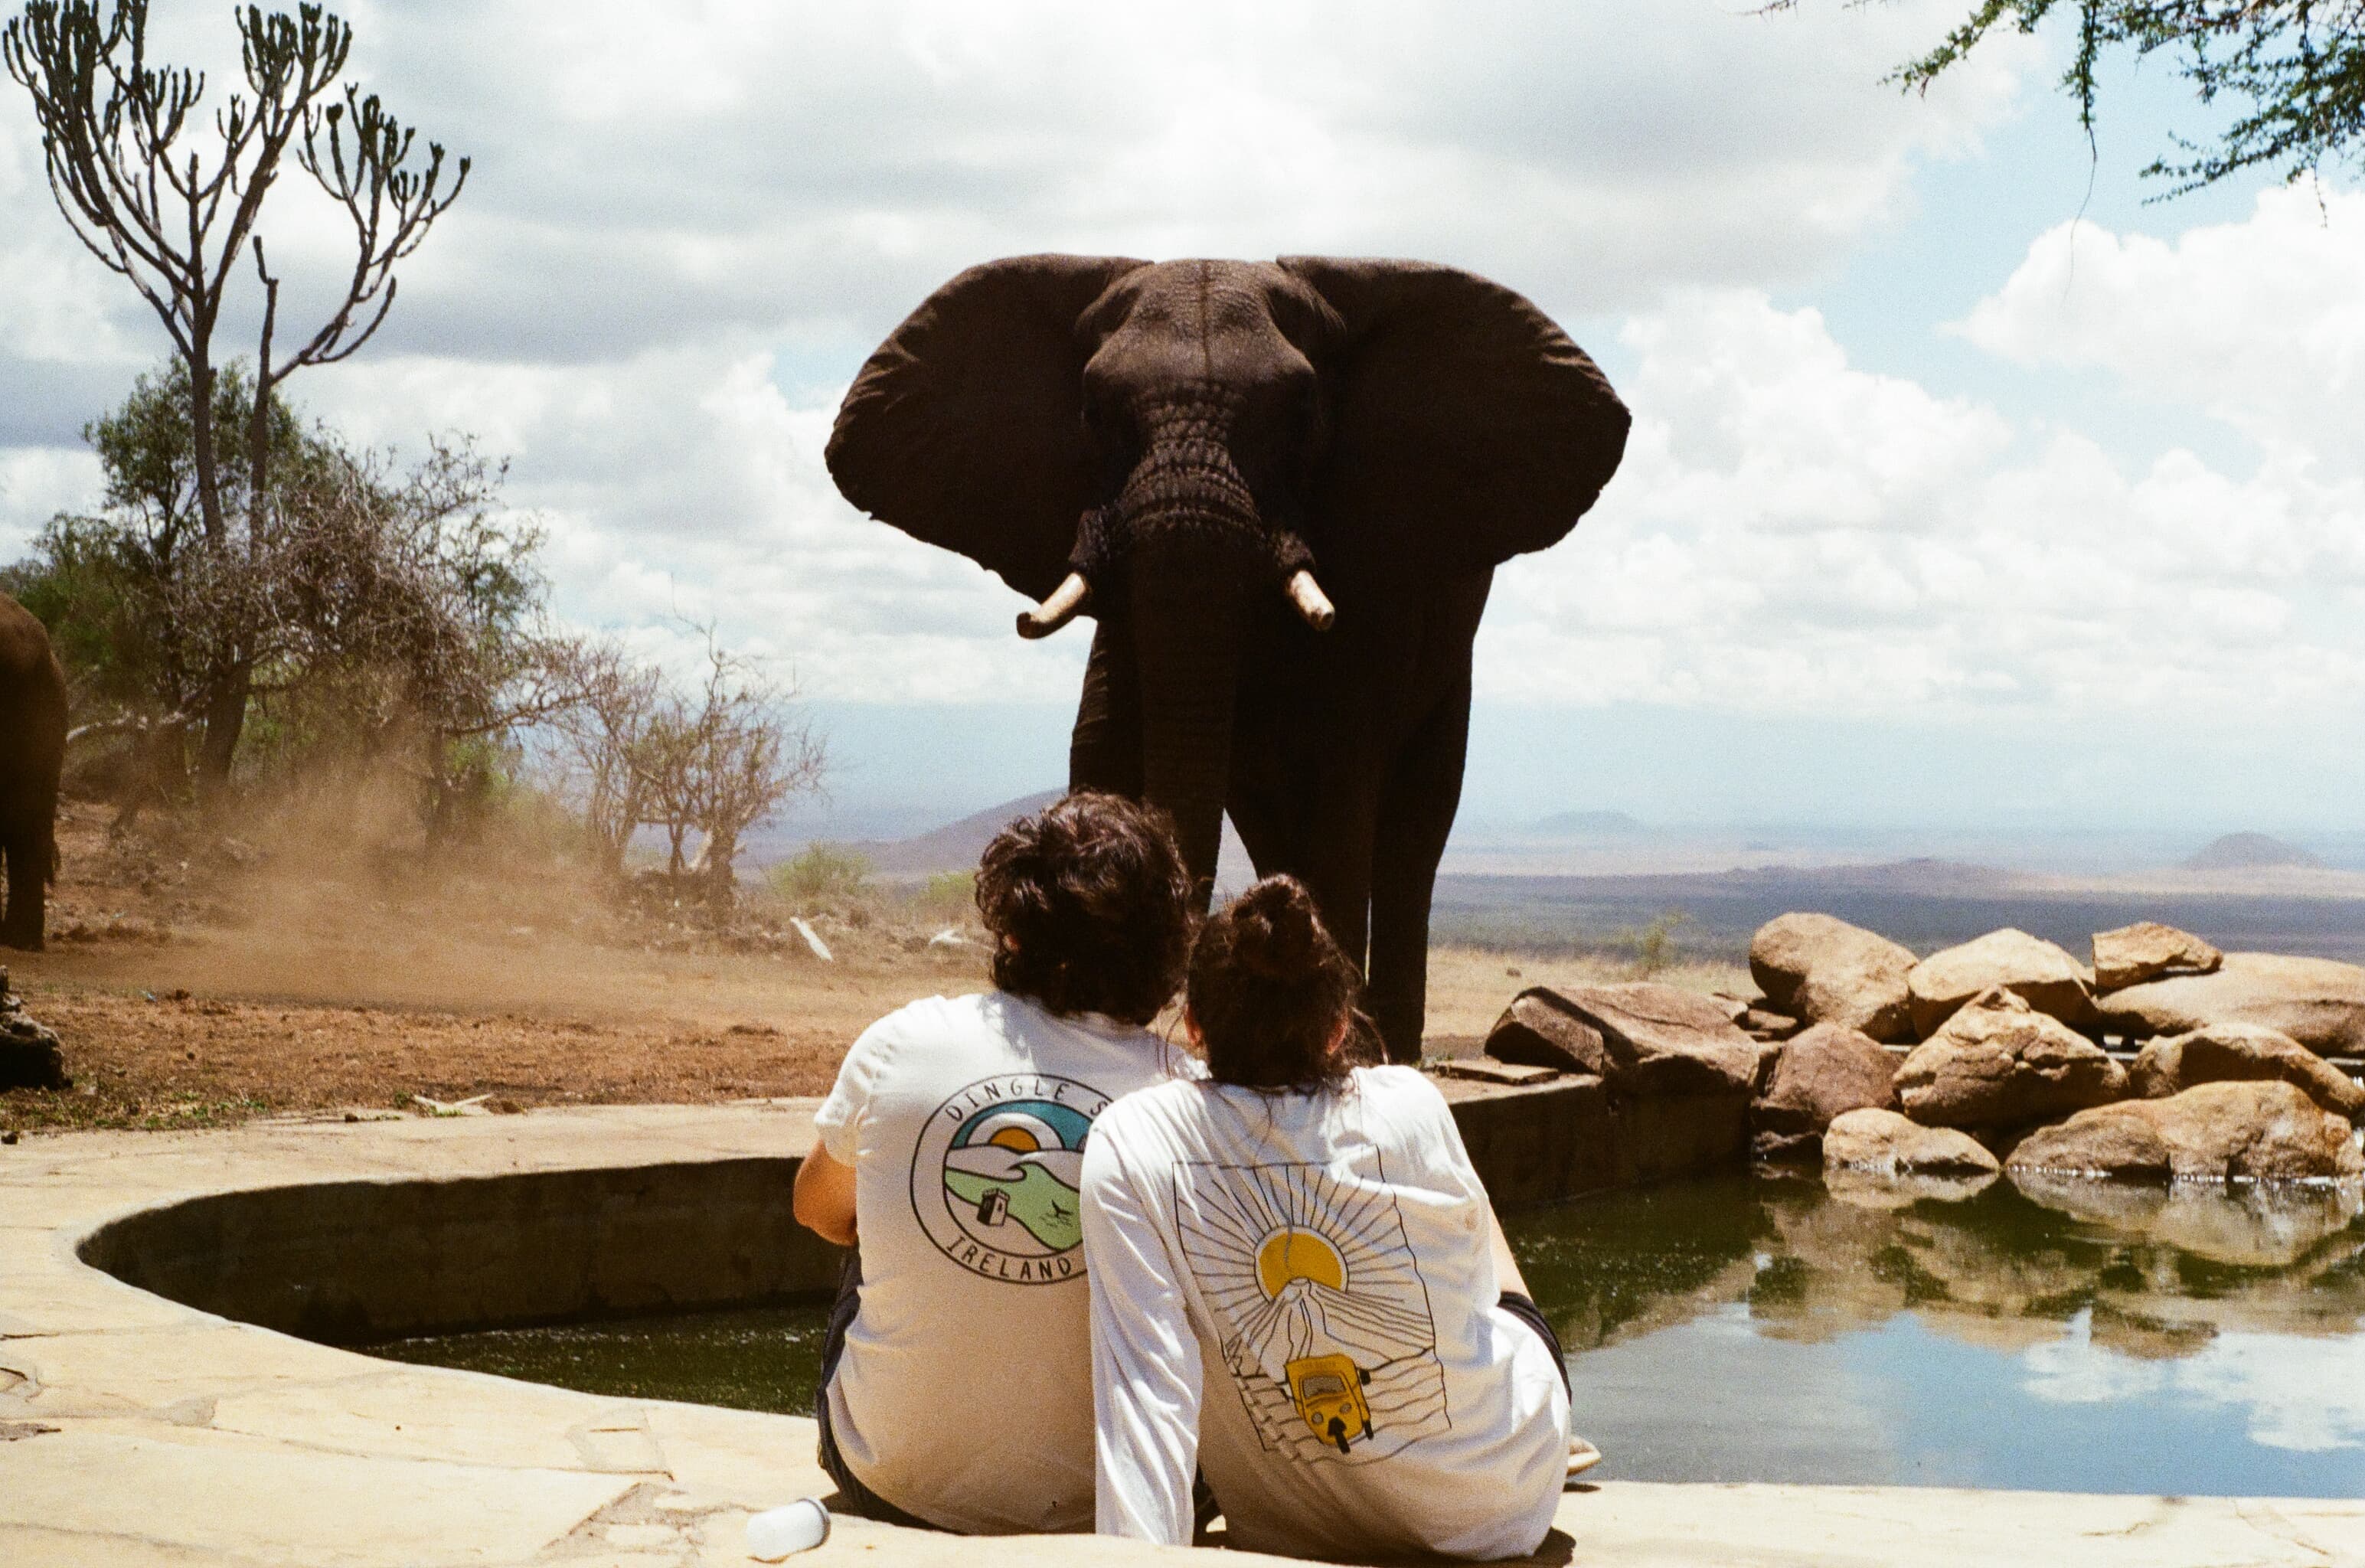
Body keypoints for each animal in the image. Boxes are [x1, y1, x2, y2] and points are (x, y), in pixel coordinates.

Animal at [827, 256, 1629, 1061]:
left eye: (1302, 413)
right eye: (1092, 412)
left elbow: (1344, 772)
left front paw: (1340, 1046)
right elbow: (1105, 742)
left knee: (1413, 828)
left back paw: (1394, 1046)